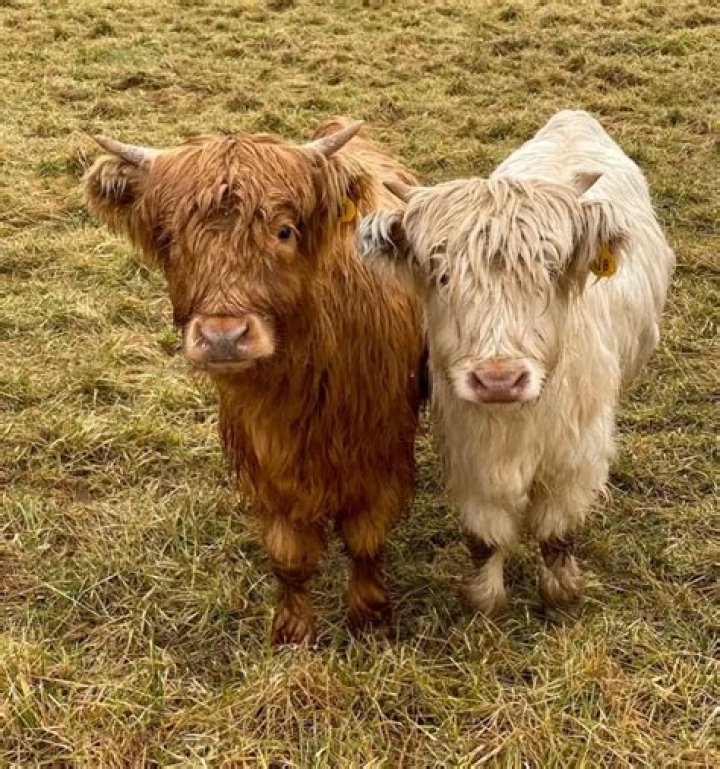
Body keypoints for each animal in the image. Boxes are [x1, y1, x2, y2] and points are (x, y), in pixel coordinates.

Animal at [83, 118, 424, 644]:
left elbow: (365, 540)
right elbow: (289, 555)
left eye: (283, 230)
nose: (223, 337)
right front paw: (292, 631)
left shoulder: (381, 453)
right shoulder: (264, 461)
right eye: (170, 237)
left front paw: (370, 620)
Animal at [357, 110, 675, 617]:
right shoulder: (470, 451)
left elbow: (557, 531)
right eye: (442, 275)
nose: (498, 380)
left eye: (550, 271)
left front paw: (561, 596)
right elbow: (485, 536)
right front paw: (484, 601)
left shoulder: (576, 458)